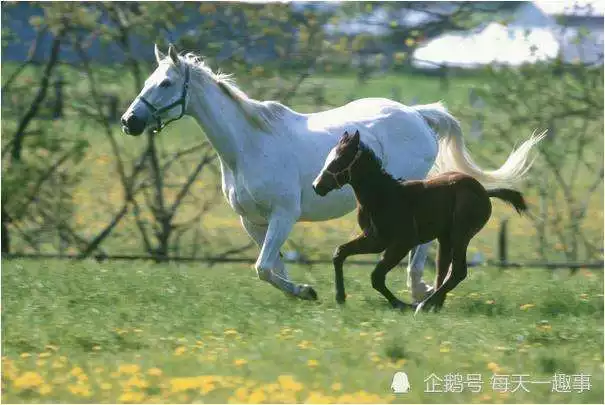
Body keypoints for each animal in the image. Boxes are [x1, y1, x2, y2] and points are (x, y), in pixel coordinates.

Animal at [314, 130, 528, 312]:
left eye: (340, 159)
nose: (317, 186)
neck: (383, 195)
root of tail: (484, 191)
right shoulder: (374, 240)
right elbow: (339, 253)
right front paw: (340, 297)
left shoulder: (402, 242)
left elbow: (376, 277)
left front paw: (401, 305)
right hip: (445, 237)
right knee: (444, 269)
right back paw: (434, 306)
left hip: (461, 234)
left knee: (458, 271)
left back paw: (424, 305)